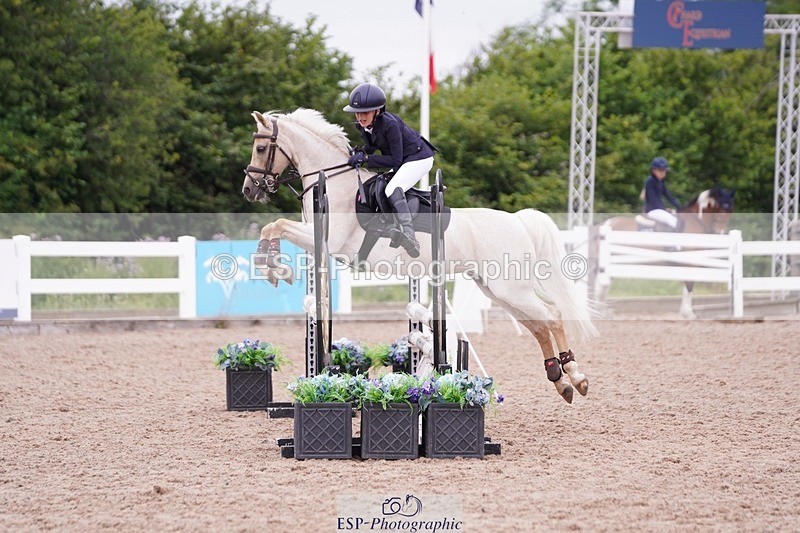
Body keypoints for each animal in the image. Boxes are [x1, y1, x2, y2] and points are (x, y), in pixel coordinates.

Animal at [241, 108, 597, 403]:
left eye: (260, 148)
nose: (249, 189)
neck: (338, 185)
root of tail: (517, 220)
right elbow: (273, 227)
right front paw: (273, 266)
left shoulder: (330, 241)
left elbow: (276, 226)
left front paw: (272, 268)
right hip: (496, 289)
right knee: (540, 324)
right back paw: (561, 379)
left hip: (511, 288)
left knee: (551, 316)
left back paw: (575, 376)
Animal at [592, 185, 736, 318]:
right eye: (720, 208)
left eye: (730, 211)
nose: (720, 232)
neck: (695, 221)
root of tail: (603, 225)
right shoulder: (690, 263)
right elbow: (688, 287)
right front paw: (688, 313)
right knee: (601, 285)